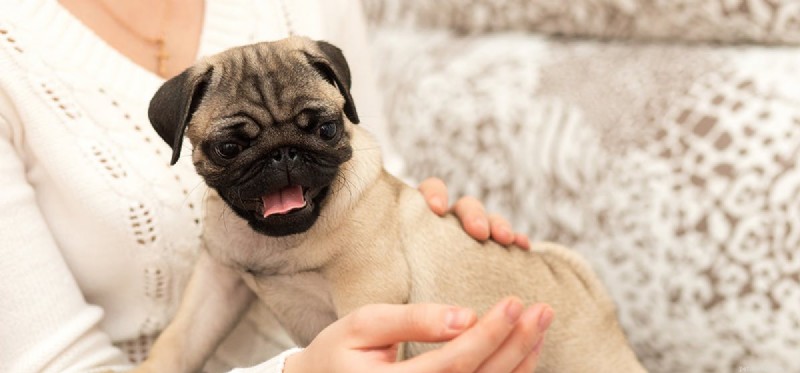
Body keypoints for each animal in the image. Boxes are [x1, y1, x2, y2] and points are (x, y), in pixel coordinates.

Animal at [141, 35, 648, 372]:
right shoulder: (219, 284)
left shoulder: (368, 293)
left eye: (326, 128)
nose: (282, 153)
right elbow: (178, 341)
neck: (283, 242)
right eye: (229, 148)